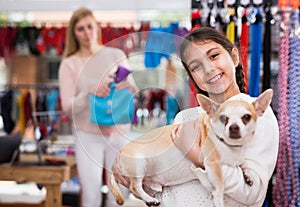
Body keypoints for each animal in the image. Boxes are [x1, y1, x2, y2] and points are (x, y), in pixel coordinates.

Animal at [110, 89, 274, 207]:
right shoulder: (212, 165)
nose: (233, 127)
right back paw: (150, 199)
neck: (230, 146)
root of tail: (120, 153)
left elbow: (242, 163)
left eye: (246, 117)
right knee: (135, 186)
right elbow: (219, 186)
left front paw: (247, 174)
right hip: (139, 164)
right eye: (223, 118)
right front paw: (218, 200)